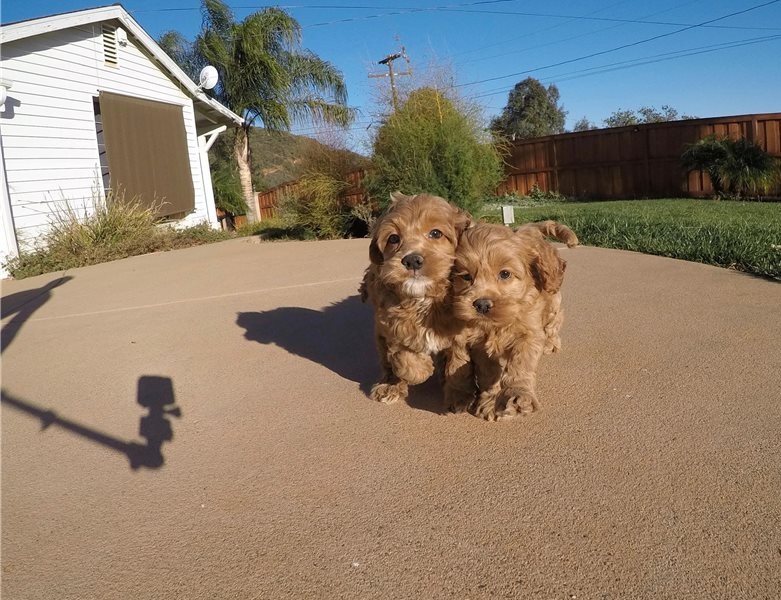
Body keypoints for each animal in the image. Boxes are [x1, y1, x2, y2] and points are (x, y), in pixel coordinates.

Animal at [358, 192, 470, 406]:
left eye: (436, 233)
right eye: (393, 238)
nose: (412, 260)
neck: (423, 298)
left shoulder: (461, 334)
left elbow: (458, 363)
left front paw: (459, 397)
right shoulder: (390, 324)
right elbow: (403, 357)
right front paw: (422, 368)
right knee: (386, 362)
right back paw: (390, 385)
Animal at [444, 220, 580, 422]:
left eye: (505, 274)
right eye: (466, 276)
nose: (481, 304)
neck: (499, 324)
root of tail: (530, 228)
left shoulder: (529, 333)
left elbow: (520, 364)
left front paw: (518, 395)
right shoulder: (479, 343)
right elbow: (488, 372)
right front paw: (490, 401)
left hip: (553, 297)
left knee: (554, 321)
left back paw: (551, 344)